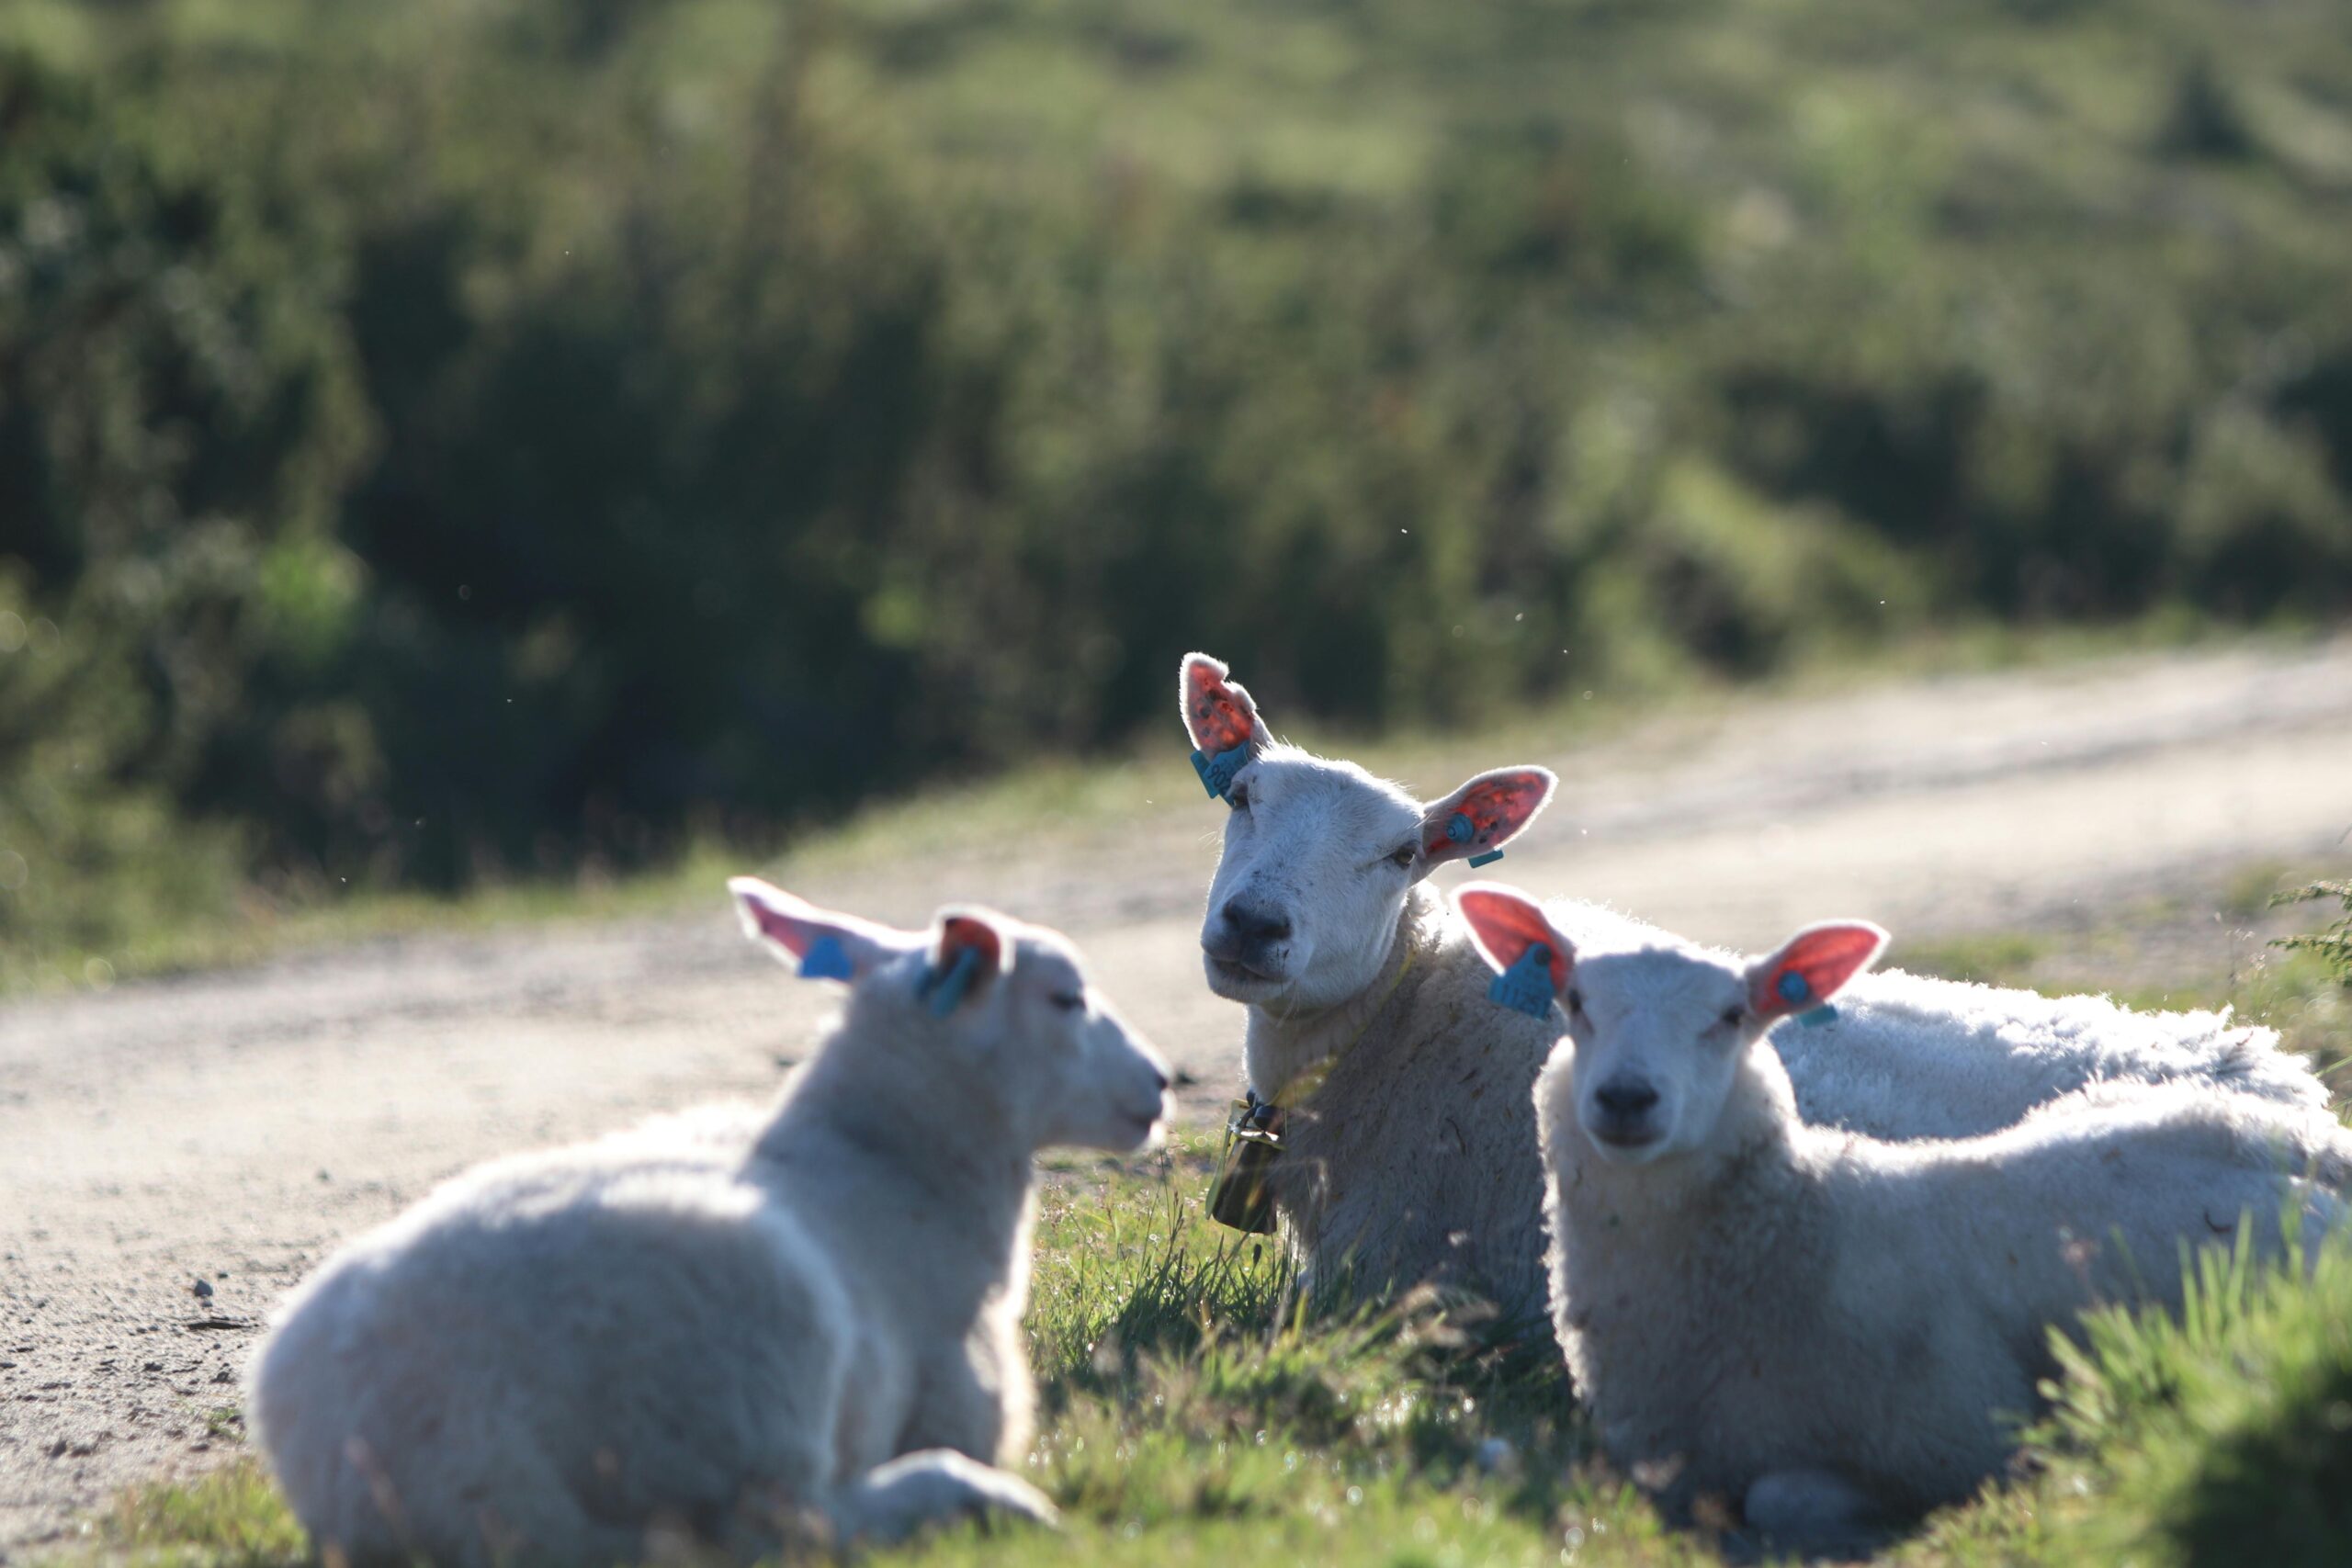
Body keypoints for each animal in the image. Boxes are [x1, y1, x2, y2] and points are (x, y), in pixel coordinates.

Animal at [248, 884, 1166, 1568]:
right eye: (1065, 996)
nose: (1159, 1081)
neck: (891, 1159)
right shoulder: (960, 1393)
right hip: (746, 1383)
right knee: (790, 1529)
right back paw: (976, 1498)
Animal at [1185, 649, 2324, 1325]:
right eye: (1241, 798)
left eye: (1397, 856)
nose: (1253, 925)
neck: (1402, 1019)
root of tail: (2302, 1102)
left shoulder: (1398, 1275)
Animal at [1458, 884, 2342, 1541]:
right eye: (1574, 1000)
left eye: (1733, 1016)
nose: (1626, 1097)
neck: (1798, 1226)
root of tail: (2314, 1139)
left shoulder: (1948, 1437)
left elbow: (1782, 1498)